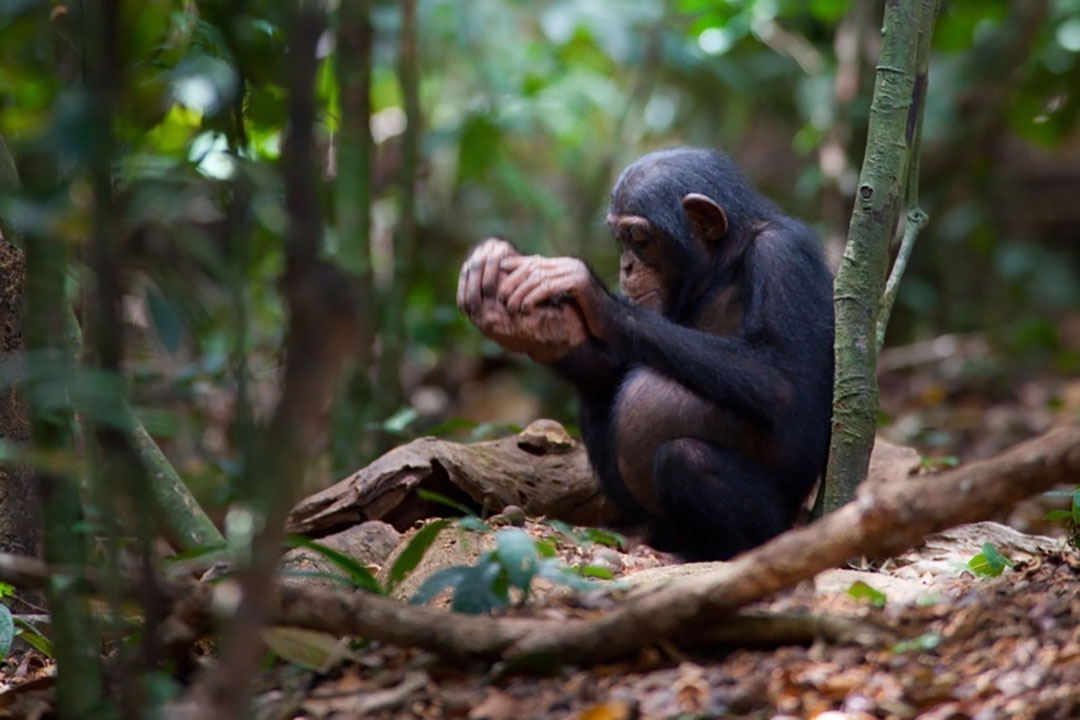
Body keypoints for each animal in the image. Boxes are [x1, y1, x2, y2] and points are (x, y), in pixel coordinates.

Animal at [455, 147, 833, 561]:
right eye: (620, 239)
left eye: (638, 237)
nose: (627, 266)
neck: (721, 265)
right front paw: (540, 326)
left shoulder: (784, 257)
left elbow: (779, 382)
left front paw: (588, 292)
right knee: (598, 400)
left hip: (777, 524)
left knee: (685, 459)